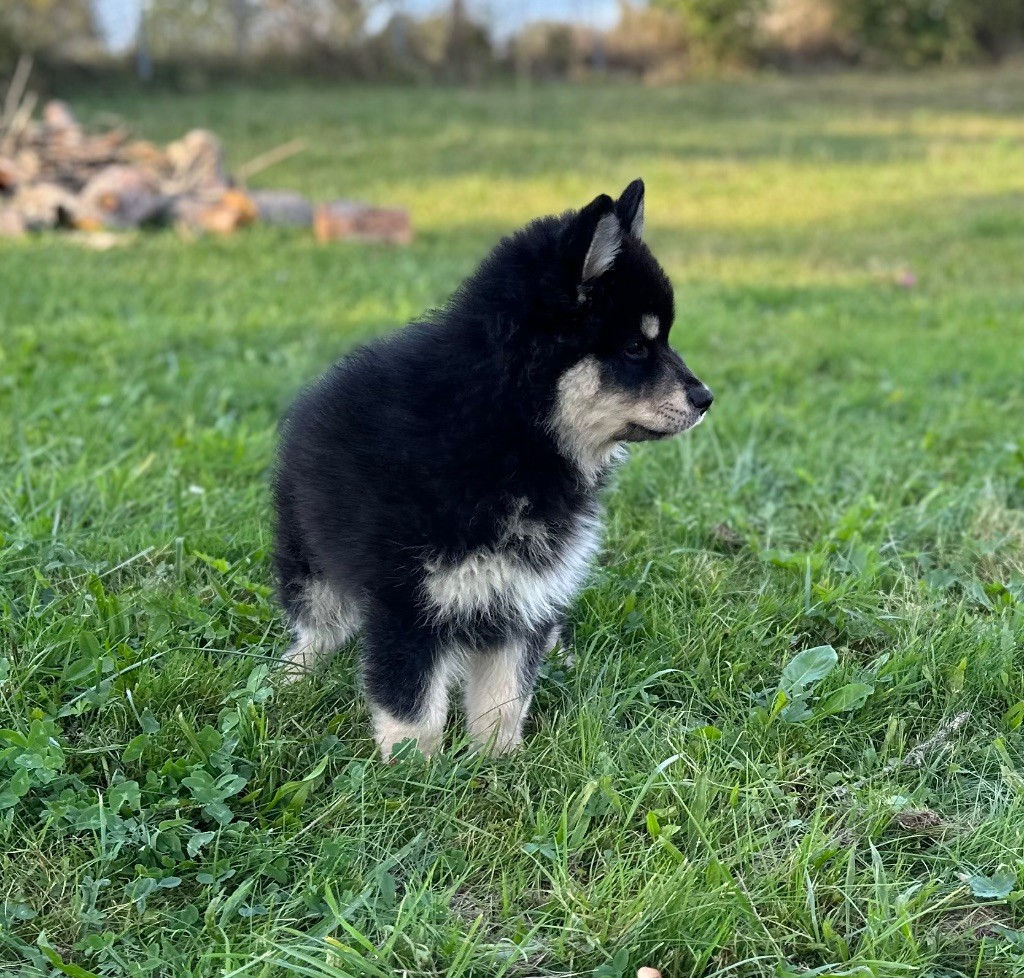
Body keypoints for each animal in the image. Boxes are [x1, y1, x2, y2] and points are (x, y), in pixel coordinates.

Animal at [272, 179, 713, 759]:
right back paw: (293, 676)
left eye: (662, 340)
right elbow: (412, 705)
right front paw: (414, 773)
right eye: (637, 347)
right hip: (308, 557)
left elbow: (505, 697)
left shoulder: (525, 590)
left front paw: (499, 763)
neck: (509, 427)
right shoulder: (409, 601)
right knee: (318, 625)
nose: (706, 398)